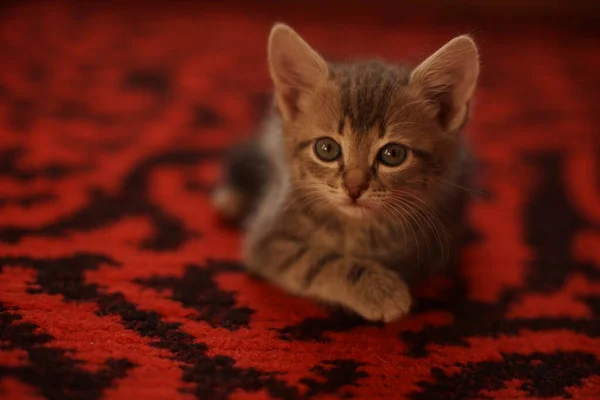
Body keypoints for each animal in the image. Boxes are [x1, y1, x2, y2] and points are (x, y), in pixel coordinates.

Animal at [213, 23, 480, 322]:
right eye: (326, 148)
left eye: (393, 154)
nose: (354, 187)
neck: (356, 228)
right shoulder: (267, 240)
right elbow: (315, 260)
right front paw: (379, 288)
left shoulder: (433, 247)